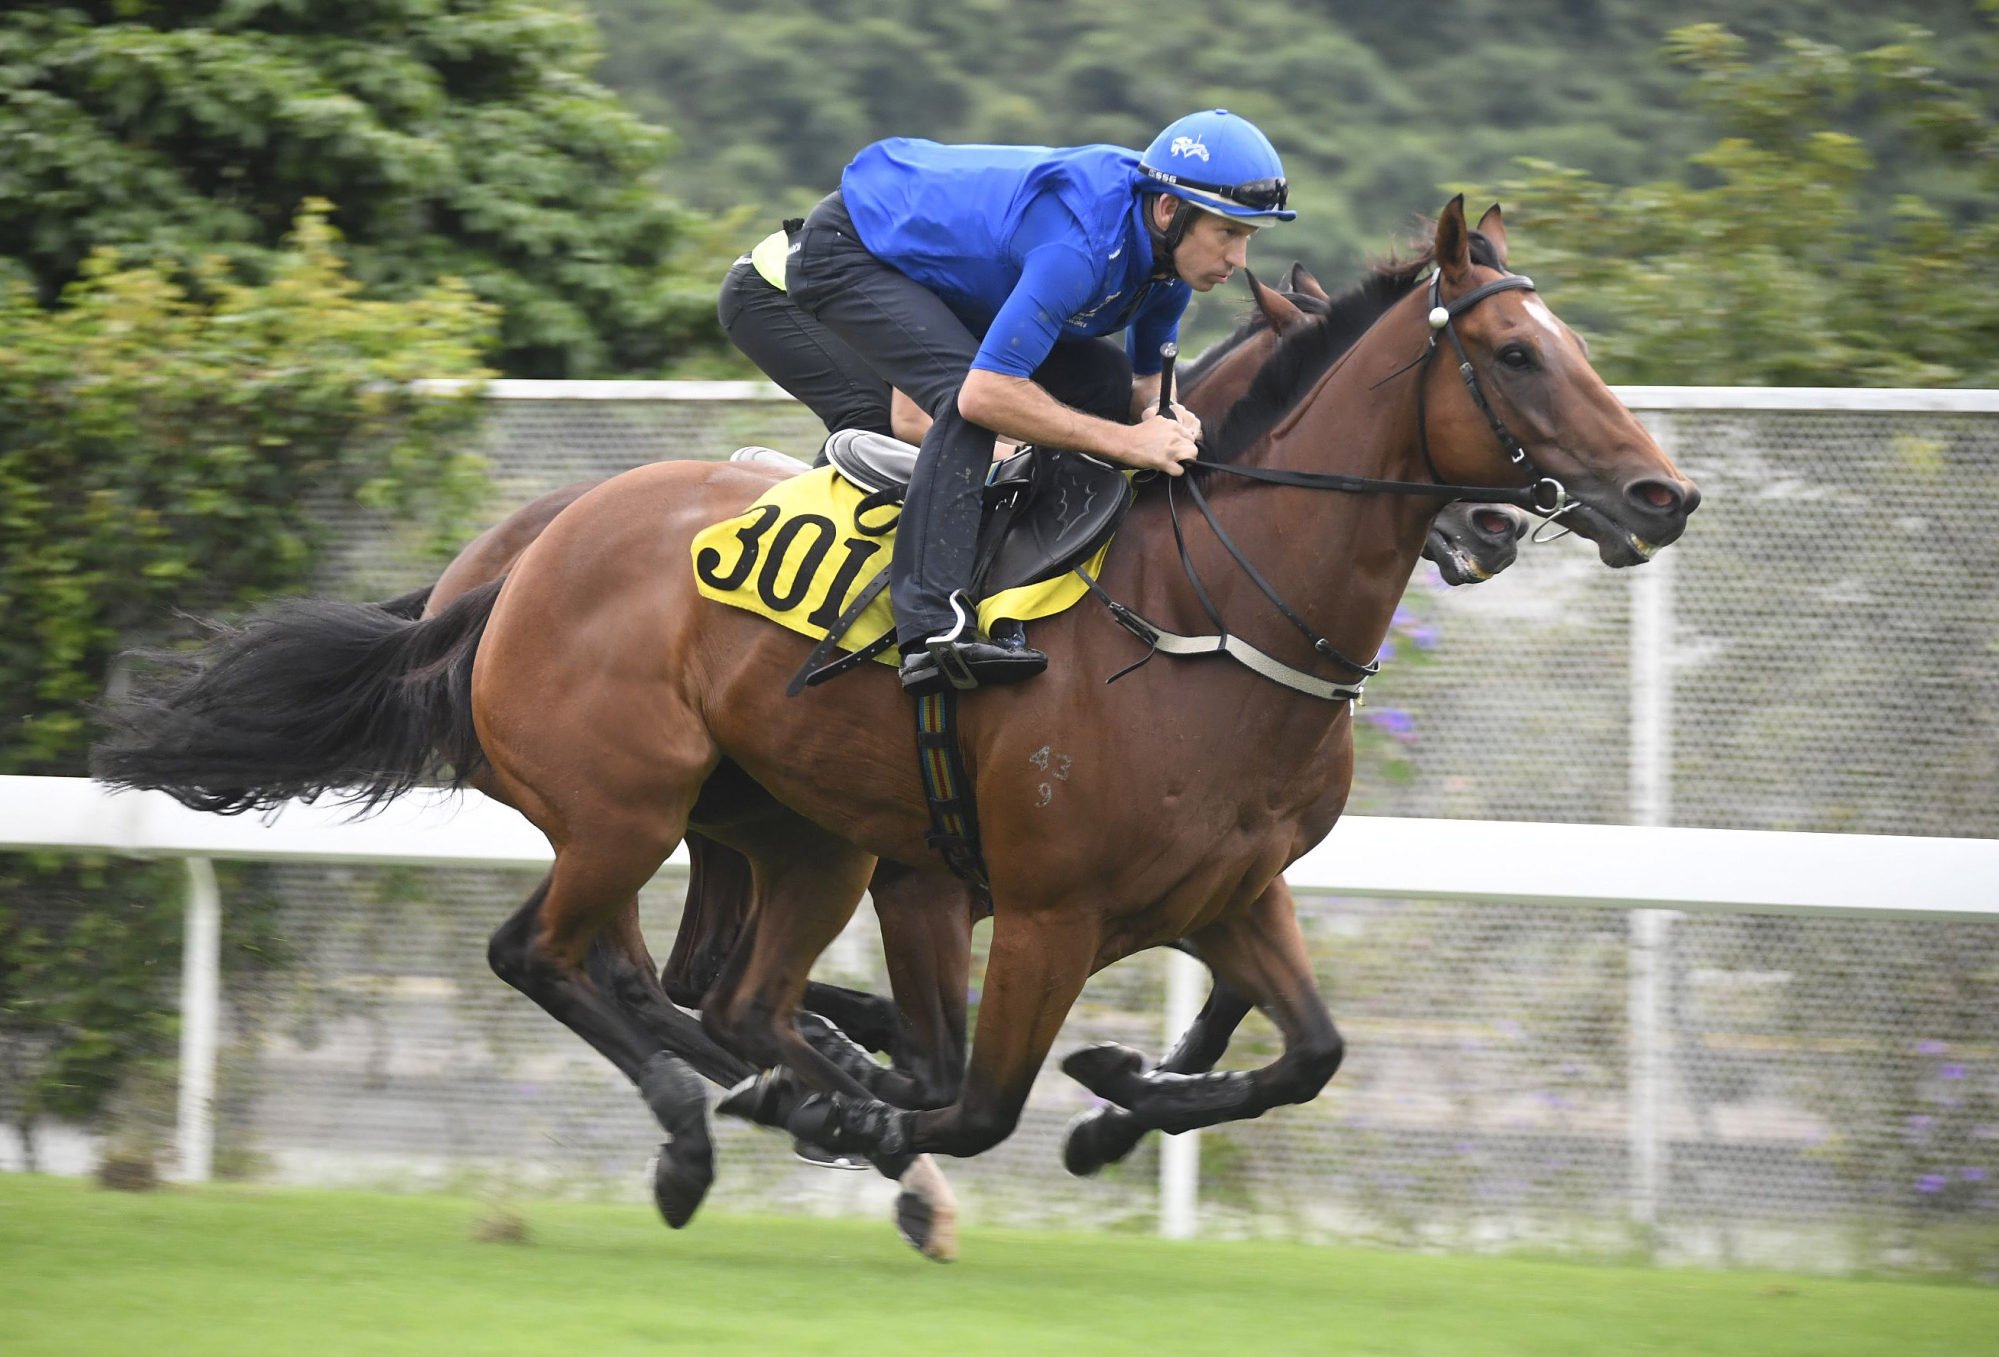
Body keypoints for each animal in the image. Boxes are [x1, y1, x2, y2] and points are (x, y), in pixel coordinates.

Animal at [89, 198, 1687, 1255]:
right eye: (1515, 353)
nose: (1657, 495)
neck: (1201, 612)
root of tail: (506, 568)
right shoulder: (1025, 904)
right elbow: (972, 1096)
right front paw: (921, 1119)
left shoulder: (1227, 890)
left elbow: (1305, 1051)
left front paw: (1107, 1096)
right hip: (631, 807)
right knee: (552, 957)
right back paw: (711, 1130)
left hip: (779, 838)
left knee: (695, 985)